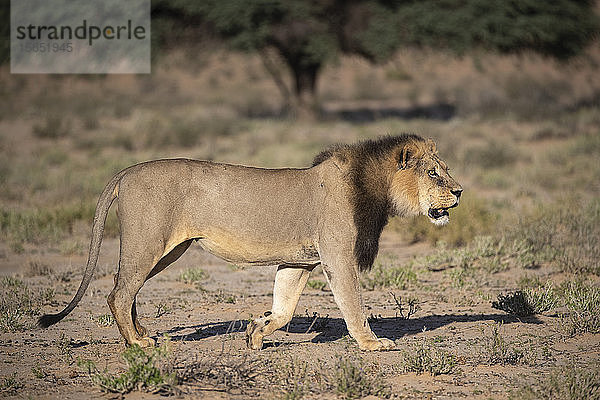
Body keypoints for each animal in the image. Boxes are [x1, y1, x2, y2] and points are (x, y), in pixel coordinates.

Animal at [39, 134, 462, 350]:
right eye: (433, 173)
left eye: (444, 171)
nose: (459, 192)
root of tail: (126, 171)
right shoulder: (337, 254)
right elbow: (352, 303)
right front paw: (371, 343)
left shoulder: (299, 261)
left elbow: (285, 308)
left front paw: (255, 332)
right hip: (149, 243)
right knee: (119, 291)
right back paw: (137, 343)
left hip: (167, 250)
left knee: (123, 286)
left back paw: (141, 333)